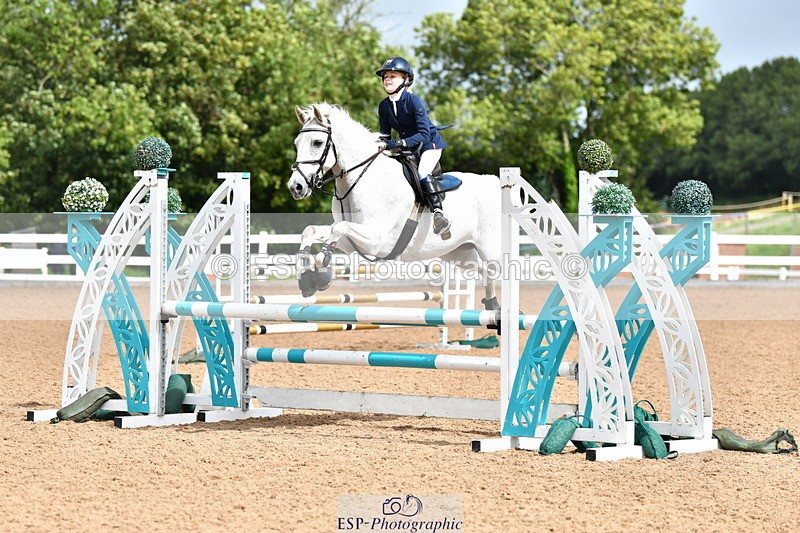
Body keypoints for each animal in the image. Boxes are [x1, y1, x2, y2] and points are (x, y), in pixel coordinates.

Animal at [288, 103, 502, 310]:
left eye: (317, 142)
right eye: (296, 144)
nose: (295, 187)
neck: (361, 179)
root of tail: (495, 183)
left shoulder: (375, 239)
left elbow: (339, 229)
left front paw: (322, 270)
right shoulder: (351, 242)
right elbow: (312, 231)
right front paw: (308, 281)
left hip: (490, 250)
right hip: (459, 252)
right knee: (486, 273)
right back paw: (492, 305)